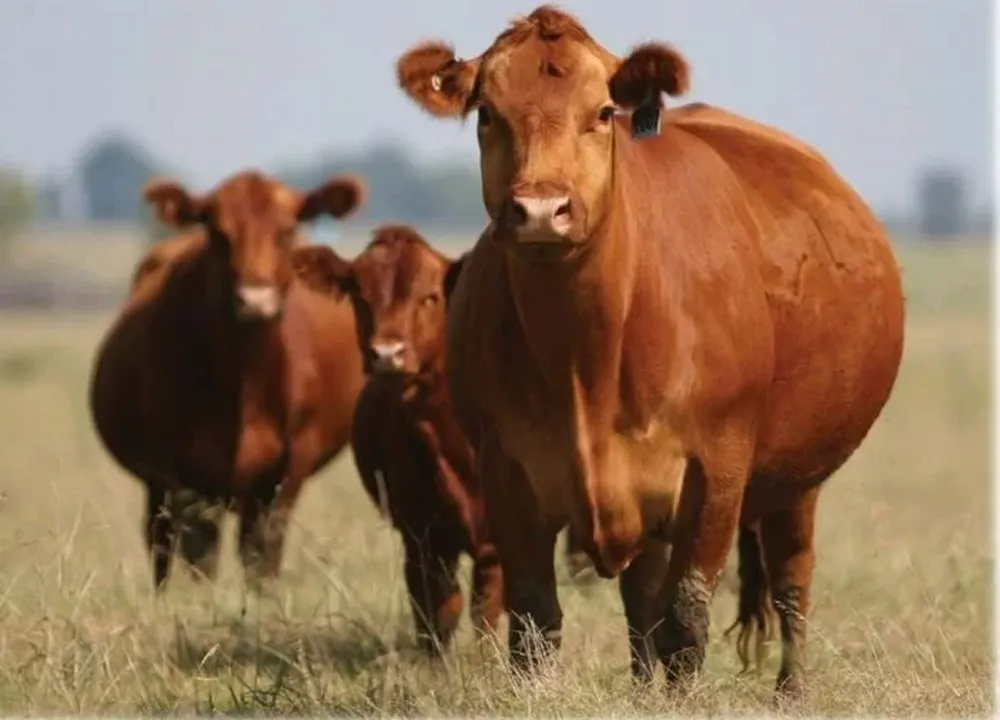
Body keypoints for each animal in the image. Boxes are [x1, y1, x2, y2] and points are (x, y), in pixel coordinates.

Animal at [88, 169, 368, 589]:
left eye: (287, 230)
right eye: (218, 233)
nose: (255, 300)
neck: (245, 386)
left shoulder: (286, 473)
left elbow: (261, 559)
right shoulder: (185, 479)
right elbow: (200, 559)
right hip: (159, 488)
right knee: (160, 545)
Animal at [290, 224, 505, 656]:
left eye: (430, 296)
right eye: (360, 295)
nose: (387, 354)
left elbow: (486, 611)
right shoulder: (419, 535)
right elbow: (436, 612)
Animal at [392, 4, 905, 700]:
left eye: (603, 111)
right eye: (487, 113)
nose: (540, 210)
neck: (587, 362)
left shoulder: (716, 472)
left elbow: (686, 618)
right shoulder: (507, 471)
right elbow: (535, 621)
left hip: (800, 478)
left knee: (791, 580)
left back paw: (791, 691)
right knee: (643, 600)